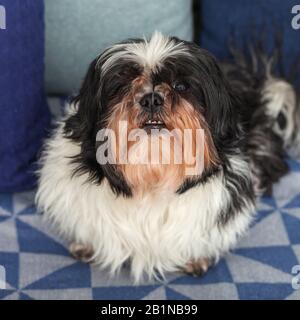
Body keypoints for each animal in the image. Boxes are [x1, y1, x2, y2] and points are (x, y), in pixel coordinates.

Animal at [35, 31, 300, 282]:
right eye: (121, 87)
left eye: (181, 86)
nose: (151, 98)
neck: (151, 176)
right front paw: (86, 244)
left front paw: (198, 257)